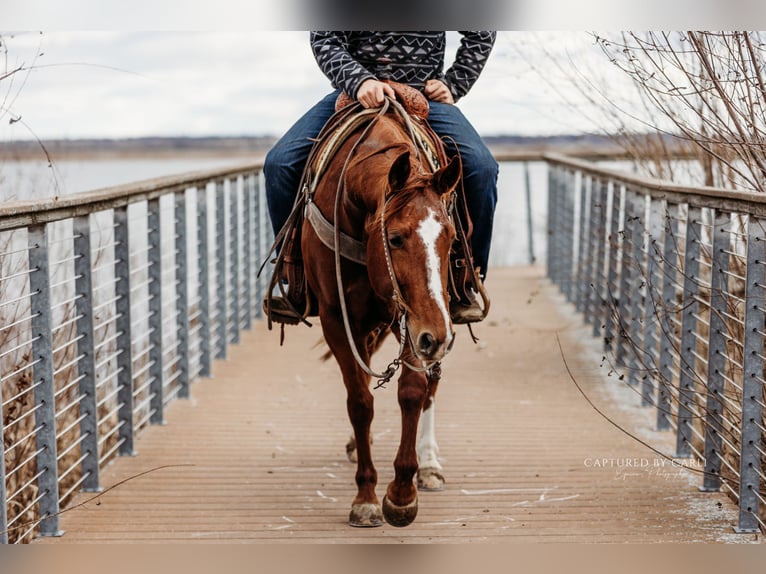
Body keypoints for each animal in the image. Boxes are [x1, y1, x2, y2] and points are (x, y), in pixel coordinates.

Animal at [304, 97, 462, 528]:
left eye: (451, 237)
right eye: (395, 238)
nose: (439, 337)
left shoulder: (413, 319)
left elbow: (412, 392)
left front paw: (402, 492)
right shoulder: (337, 318)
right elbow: (360, 402)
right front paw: (366, 497)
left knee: (432, 386)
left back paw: (429, 464)